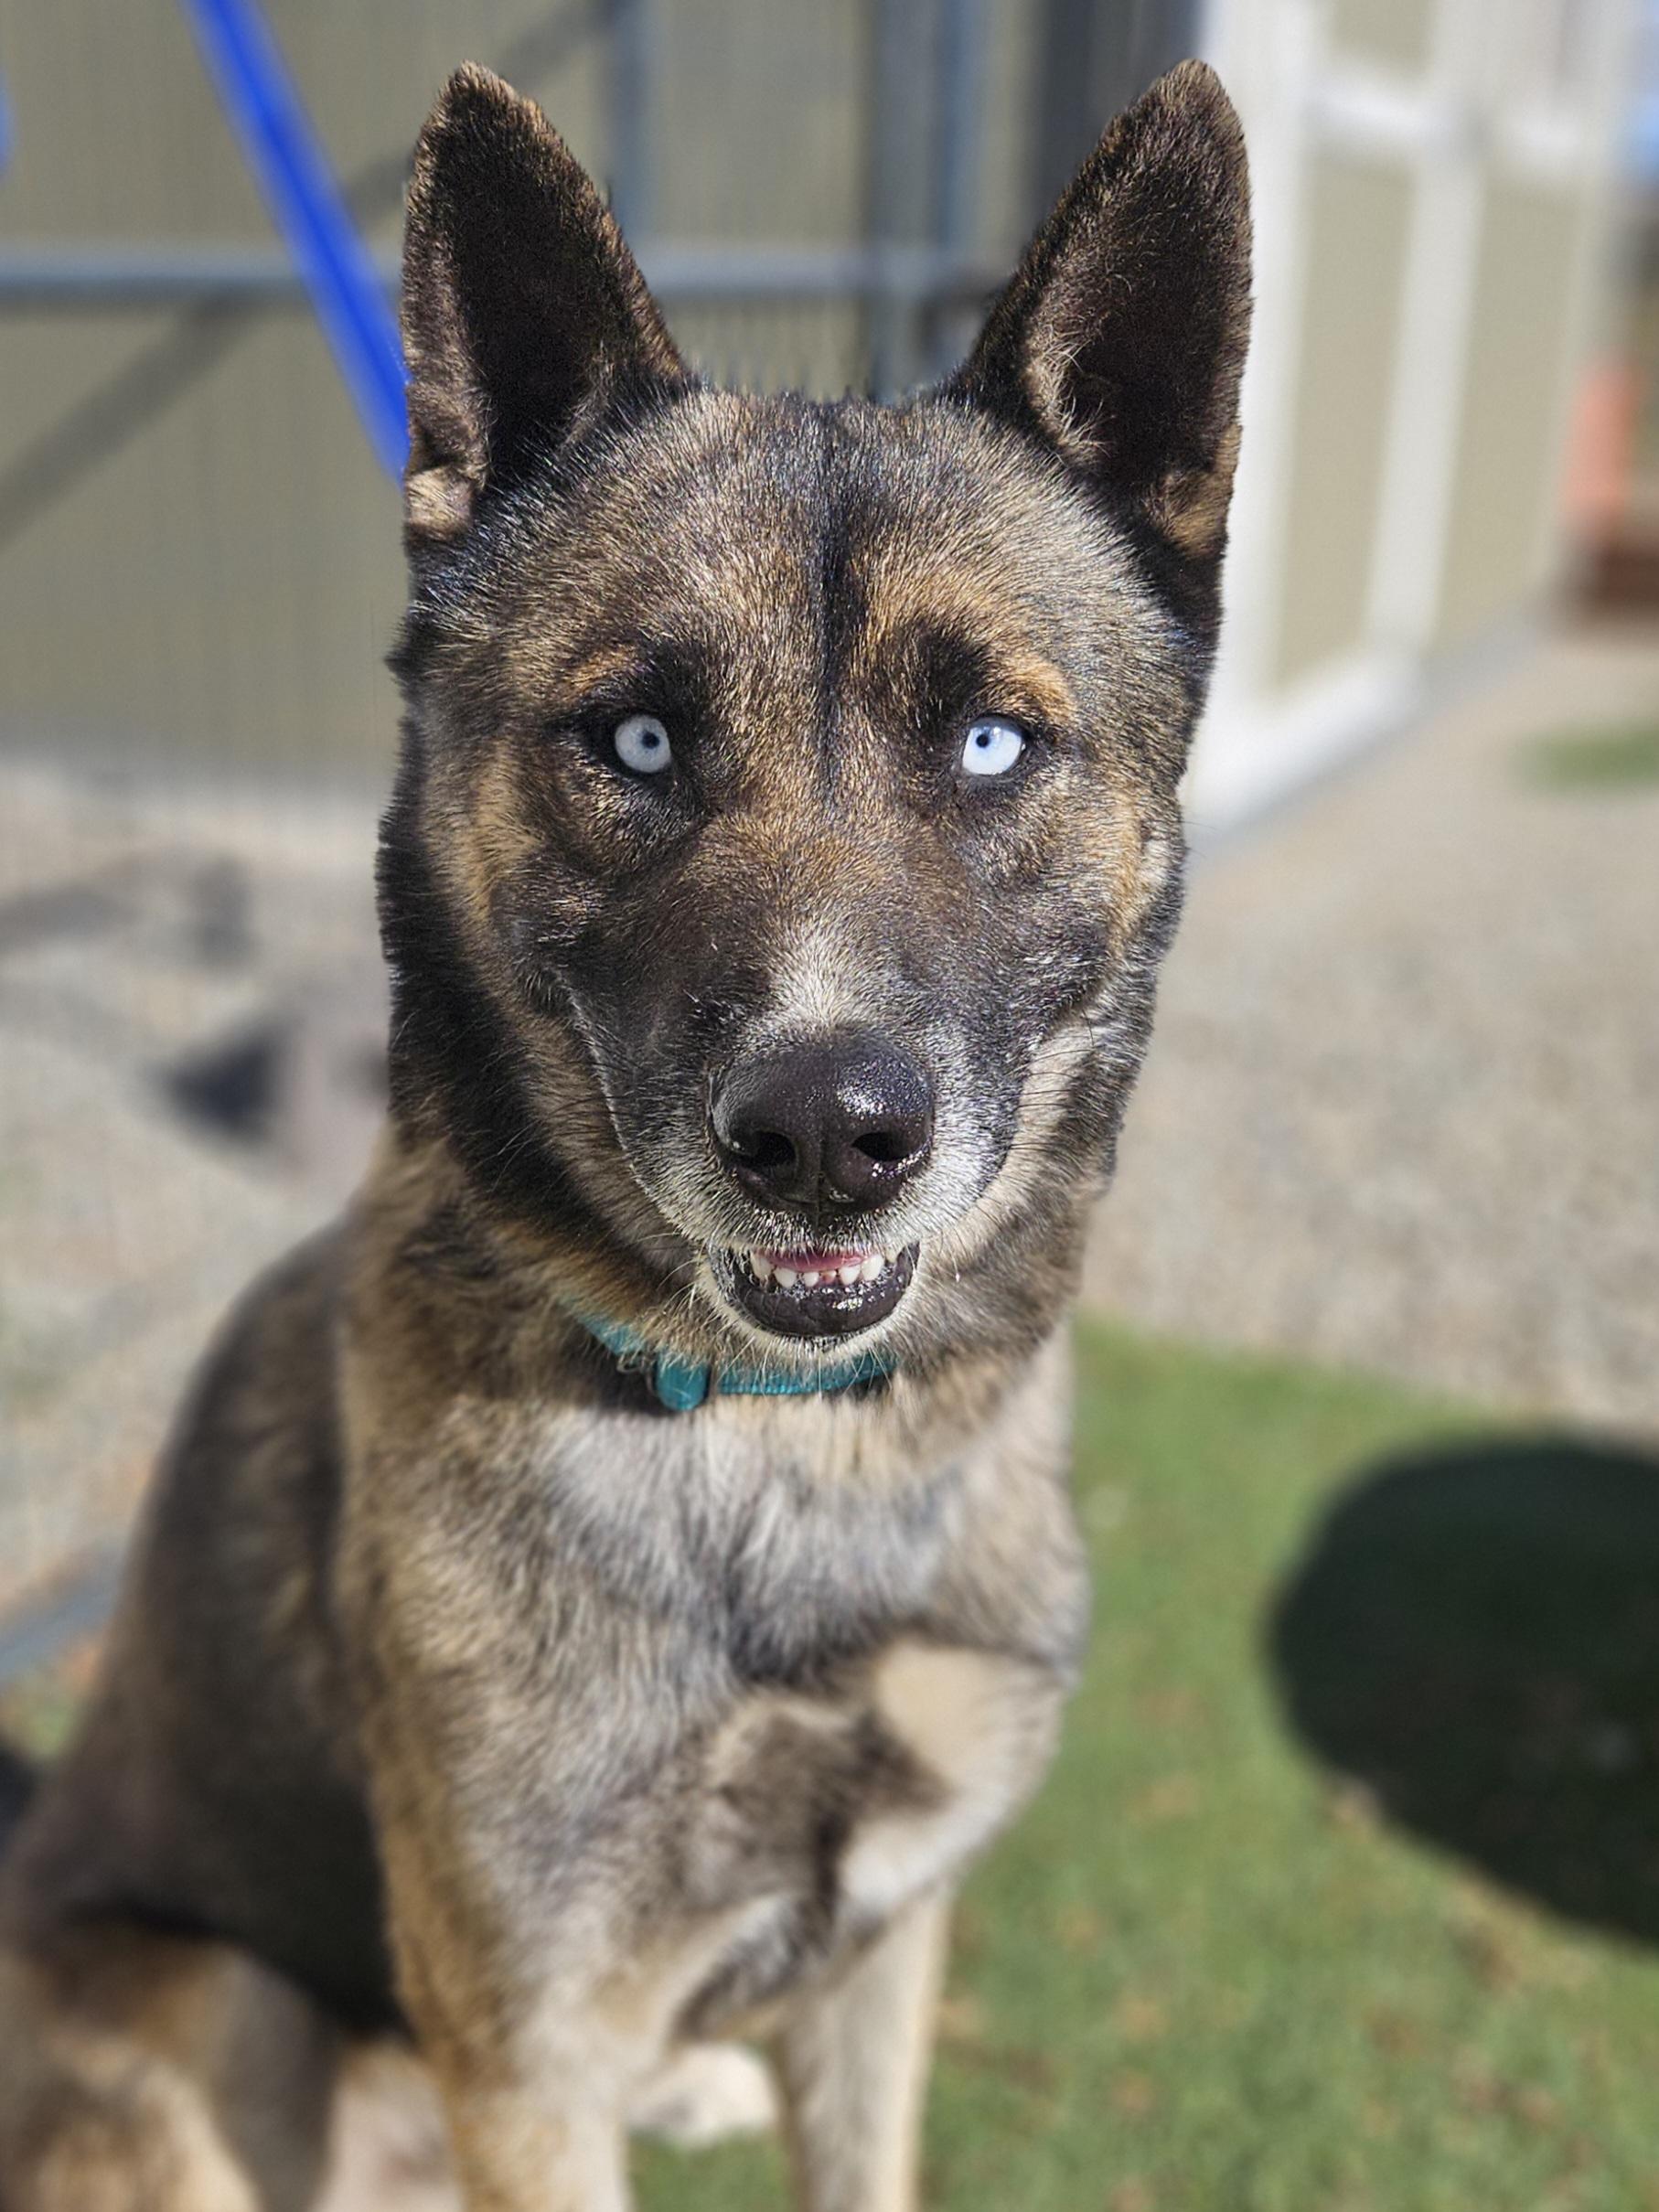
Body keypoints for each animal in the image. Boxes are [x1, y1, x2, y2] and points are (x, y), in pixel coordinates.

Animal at [0, 56, 1249, 2212]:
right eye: (640, 741)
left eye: (989, 743)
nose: (828, 1134)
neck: (777, 1448)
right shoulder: (522, 2026)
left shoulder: (881, 1948)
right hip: (213, 1998)